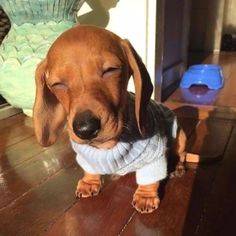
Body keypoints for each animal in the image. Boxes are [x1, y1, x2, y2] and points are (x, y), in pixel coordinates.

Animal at [33, 24, 188, 214]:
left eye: (110, 70)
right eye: (57, 84)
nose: (85, 129)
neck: (108, 146)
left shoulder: (154, 156)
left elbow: (150, 179)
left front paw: (145, 196)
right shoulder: (86, 157)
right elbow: (89, 169)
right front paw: (89, 182)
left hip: (180, 136)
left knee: (181, 154)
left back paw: (178, 167)